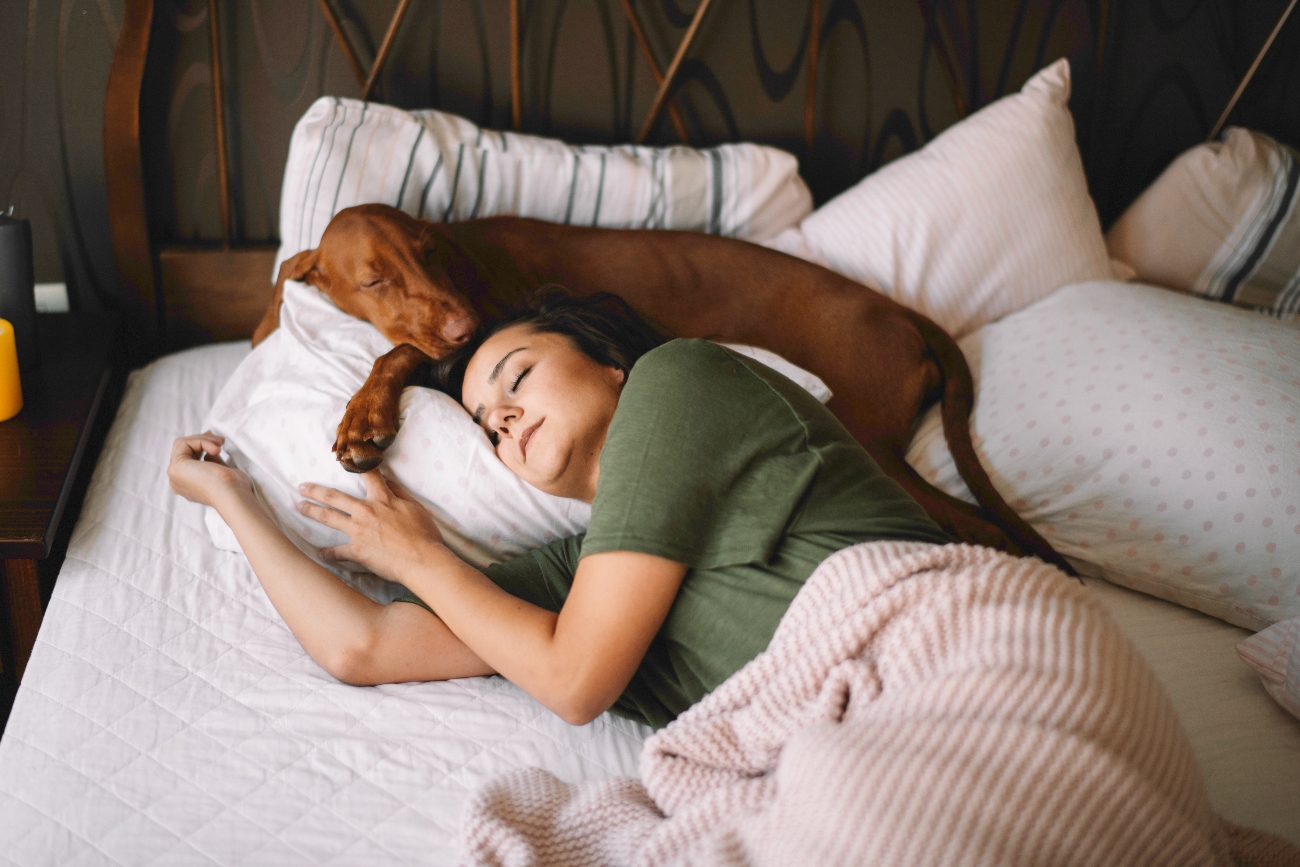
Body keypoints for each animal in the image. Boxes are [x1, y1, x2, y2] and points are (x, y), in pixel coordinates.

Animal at [250, 204, 1066, 569]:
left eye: (428, 253)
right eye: (375, 279)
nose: (465, 325)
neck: (467, 257)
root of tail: (900, 310)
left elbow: (396, 354)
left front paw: (363, 416)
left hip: (870, 440)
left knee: (978, 526)